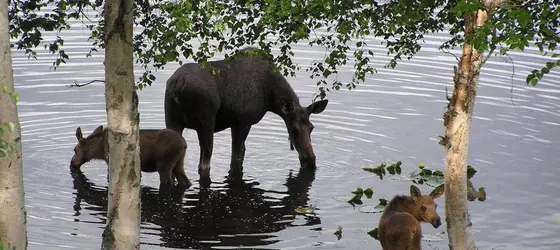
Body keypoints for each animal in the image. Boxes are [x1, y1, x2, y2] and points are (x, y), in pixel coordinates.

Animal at [162, 47, 328, 180]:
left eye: (311, 128)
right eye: (294, 129)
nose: (311, 161)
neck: (270, 99)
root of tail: (178, 83)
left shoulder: (235, 124)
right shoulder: (244, 122)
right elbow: (236, 158)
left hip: (172, 121)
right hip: (206, 124)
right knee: (204, 164)